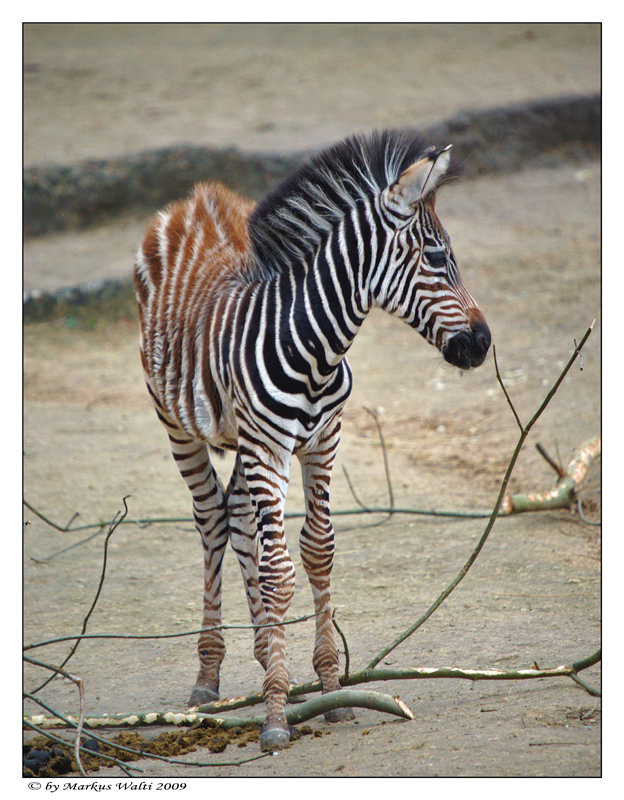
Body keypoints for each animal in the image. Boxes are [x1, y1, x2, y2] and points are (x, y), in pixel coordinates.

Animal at [133, 130, 492, 752]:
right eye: (437, 257)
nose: (484, 341)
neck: (314, 349)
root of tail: (195, 201)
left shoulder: (323, 440)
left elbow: (317, 551)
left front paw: (328, 691)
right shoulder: (268, 448)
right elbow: (280, 571)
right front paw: (277, 714)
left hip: (244, 441)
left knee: (237, 517)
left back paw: (264, 655)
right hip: (179, 424)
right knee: (211, 521)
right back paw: (209, 676)